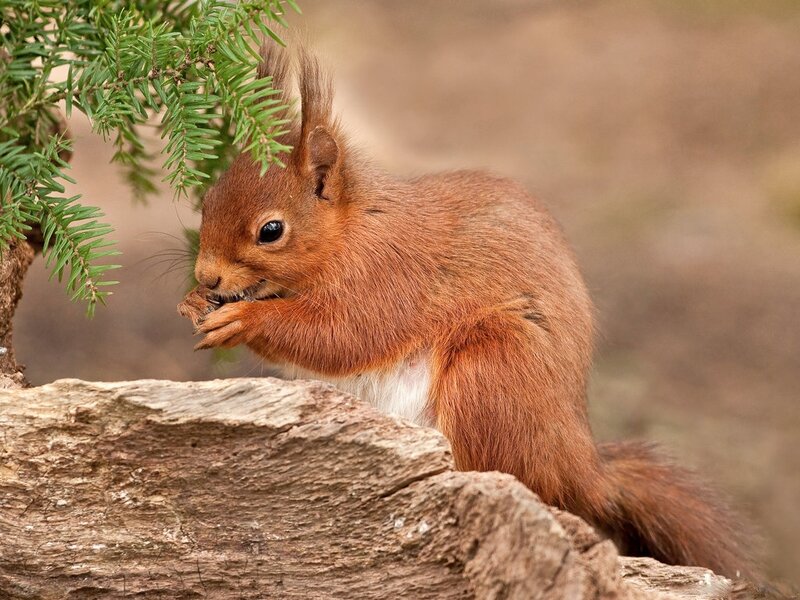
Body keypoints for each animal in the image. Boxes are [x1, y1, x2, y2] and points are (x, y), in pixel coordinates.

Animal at [178, 40, 752, 579]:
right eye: (208, 201)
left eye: (271, 231)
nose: (206, 276)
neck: (353, 228)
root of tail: (582, 466)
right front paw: (192, 302)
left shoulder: (390, 277)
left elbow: (341, 336)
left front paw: (244, 320)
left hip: (492, 368)